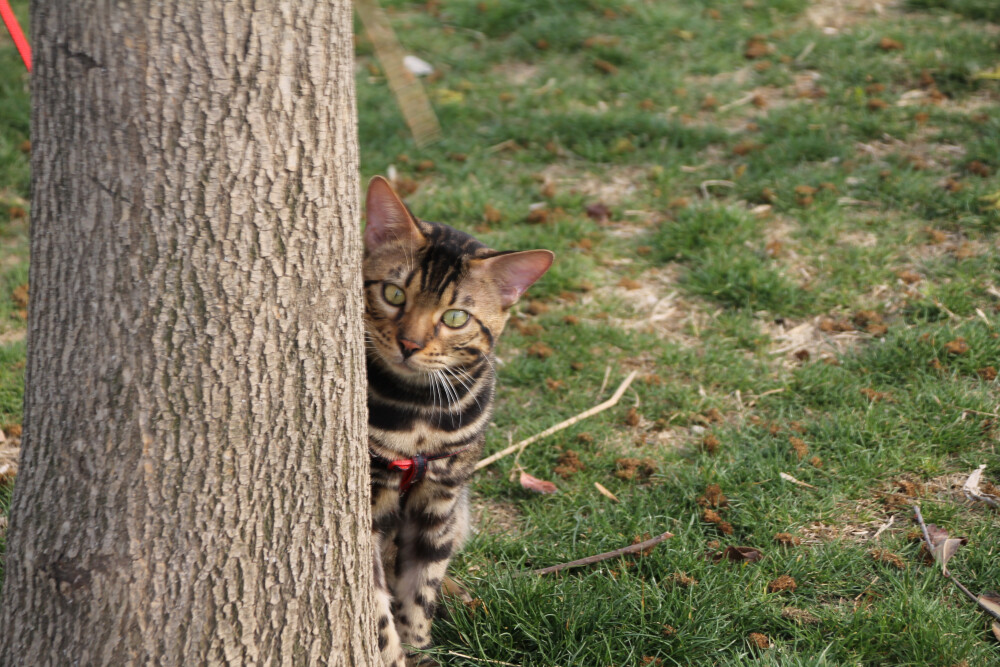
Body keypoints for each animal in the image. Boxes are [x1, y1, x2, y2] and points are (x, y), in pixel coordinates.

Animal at [364, 175, 556, 664]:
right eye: (393, 293)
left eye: (454, 317)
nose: (409, 344)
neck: (418, 415)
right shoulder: (372, 499)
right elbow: (377, 608)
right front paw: (393, 653)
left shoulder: (441, 496)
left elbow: (421, 586)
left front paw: (417, 644)